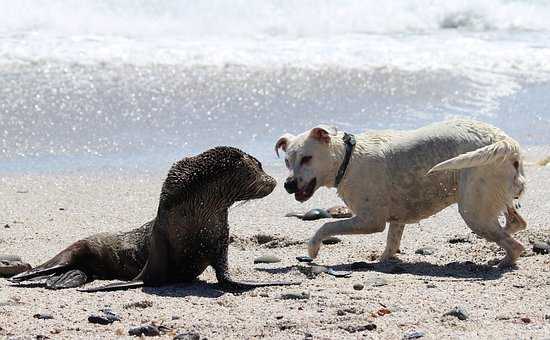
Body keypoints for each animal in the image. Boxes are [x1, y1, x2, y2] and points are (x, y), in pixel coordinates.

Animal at [278, 119, 528, 268]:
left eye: (307, 158)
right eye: (288, 161)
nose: (288, 185)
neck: (347, 159)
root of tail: (507, 142)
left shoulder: (370, 220)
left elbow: (326, 226)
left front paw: (313, 248)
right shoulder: (396, 220)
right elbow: (391, 241)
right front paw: (384, 260)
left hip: (473, 212)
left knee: (516, 246)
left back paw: (503, 261)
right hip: (493, 199)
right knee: (516, 224)